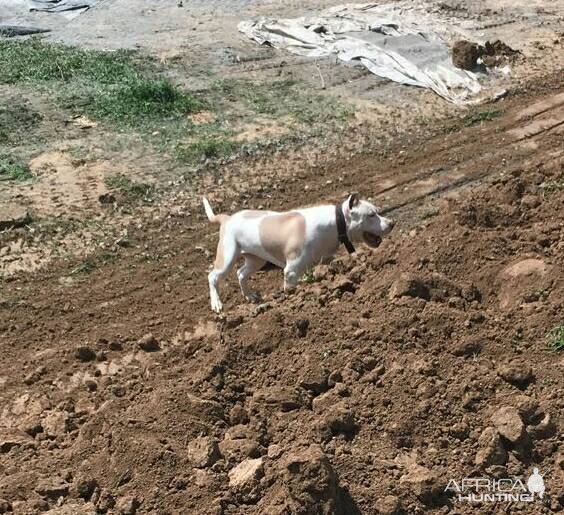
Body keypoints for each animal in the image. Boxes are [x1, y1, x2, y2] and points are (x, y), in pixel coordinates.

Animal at [205, 195, 394, 312]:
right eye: (371, 215)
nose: (392, 223)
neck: (336, 222)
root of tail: (227, 218)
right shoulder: (291, 272)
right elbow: (291, 288)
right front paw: (294, 299)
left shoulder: (326, 260)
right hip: (227, 258)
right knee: (212, 276)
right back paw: (217, 304)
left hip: (256, 260)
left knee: (241, 273)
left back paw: (249, 296)